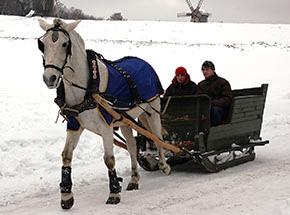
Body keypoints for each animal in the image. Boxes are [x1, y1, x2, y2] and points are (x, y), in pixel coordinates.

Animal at [38, 18, 170, 208]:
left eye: (64, 44)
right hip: (124, 119)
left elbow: (109, 159)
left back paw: (164, 166)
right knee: (132, 145)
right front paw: (66, 196)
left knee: (157, 137)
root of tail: (143, 62)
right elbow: (66, 156)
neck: (87, 88)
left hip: (152, 108)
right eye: (43, 45)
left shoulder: (106, 125)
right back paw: (134, 179)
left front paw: (114, 192)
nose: (50, 78)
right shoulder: (75, 125)